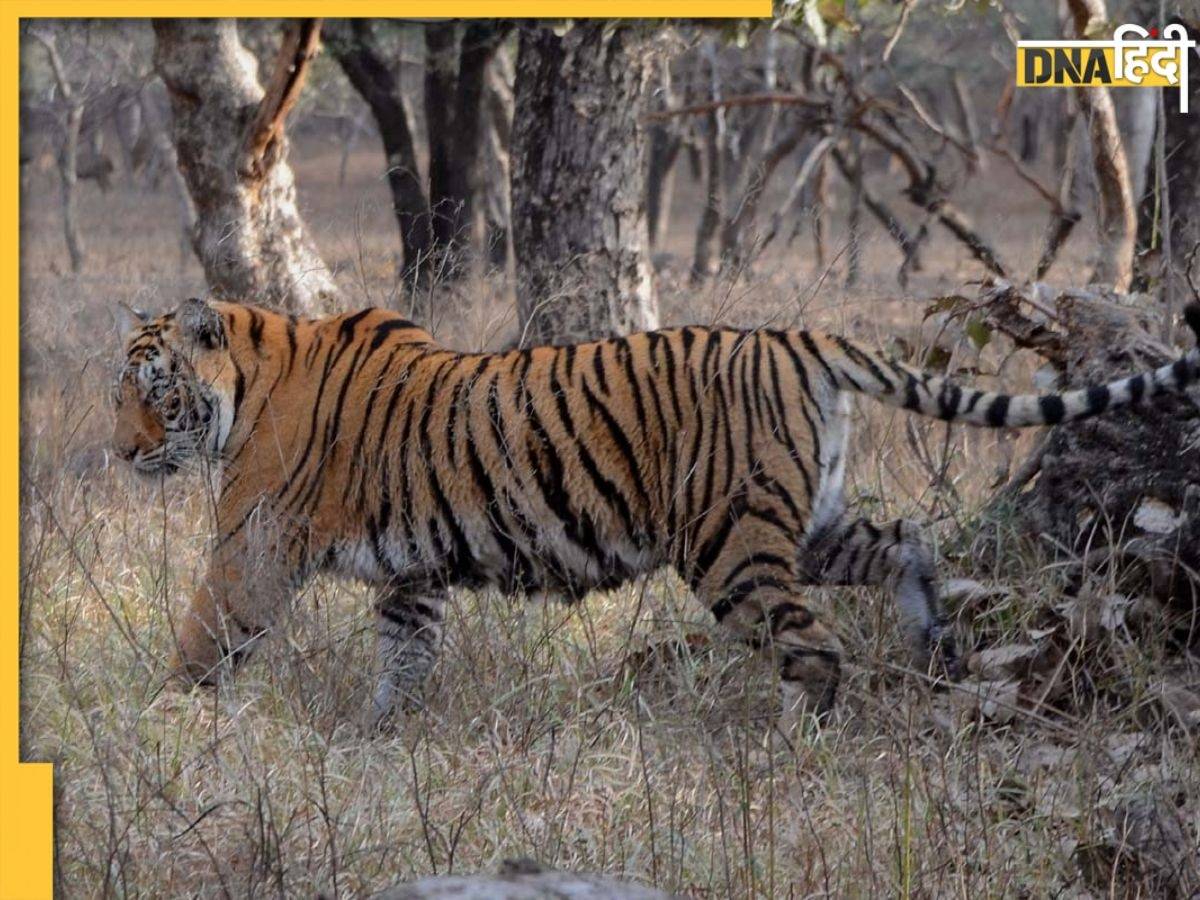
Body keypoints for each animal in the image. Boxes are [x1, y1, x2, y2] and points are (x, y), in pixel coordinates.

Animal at [112, 300, 1200, 729]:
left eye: (151, 391)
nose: (119, 454)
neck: (247, 385)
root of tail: (798, 341)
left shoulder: (251, 543)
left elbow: (206, 633)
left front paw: (170, 715)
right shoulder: (413, 572)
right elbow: (405, 655)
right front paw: (385, 732)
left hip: (730, 547)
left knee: (815, 649)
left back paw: (796, 741)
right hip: (807, 524)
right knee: (905, 543)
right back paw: (932, 639)